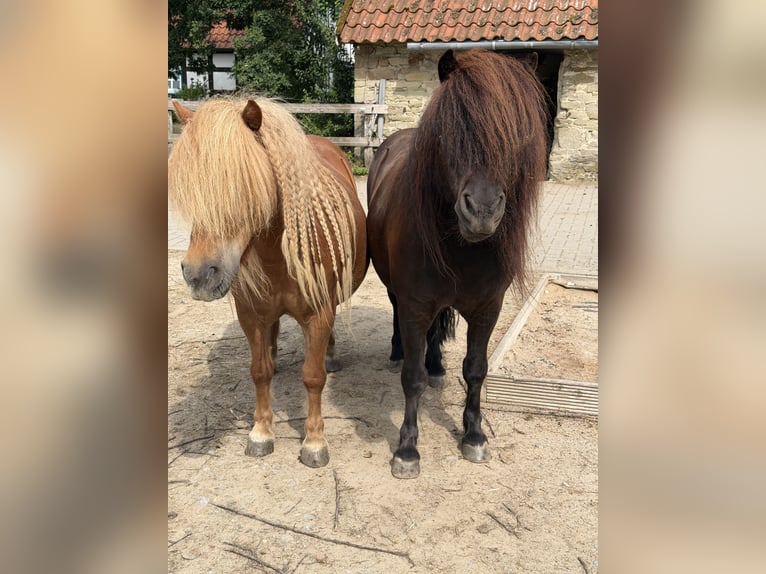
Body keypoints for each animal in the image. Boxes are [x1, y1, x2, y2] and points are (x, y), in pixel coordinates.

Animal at [168, 98, 367, 467]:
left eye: (244, 187)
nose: (198, 274)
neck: (278, 255)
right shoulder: (251, 315)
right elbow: (259, 371)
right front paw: (261, 432)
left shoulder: (319, 314)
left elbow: (313, 376)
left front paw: (314, 442)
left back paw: (331, 355)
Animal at [367, 50, 548, 478]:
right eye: (449, 132)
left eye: (516, 134)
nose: (481, 211)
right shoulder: (415, 305)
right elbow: (411, 378)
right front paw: (407, 450)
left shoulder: (488, 309)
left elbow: (475, 369)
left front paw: (474, 436)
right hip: (397, 292)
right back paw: (398, 352)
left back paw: (436, 366)